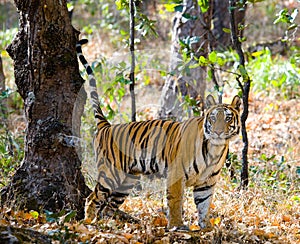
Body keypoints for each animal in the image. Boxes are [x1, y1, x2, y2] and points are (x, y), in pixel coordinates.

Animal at [75, 39, 241, 230]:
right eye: (213, 118)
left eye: (228, 118)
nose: (218, 131)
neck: (215, 148)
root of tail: (106, 126)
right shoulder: (176, 174)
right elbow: (175, 202)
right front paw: (177, 226)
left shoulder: (206, 183)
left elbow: (204, 206)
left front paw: (206, 227)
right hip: (111, 173)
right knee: (92, 198)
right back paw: (87, 224)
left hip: (126, 181)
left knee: (109, 206)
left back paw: (108, 226)